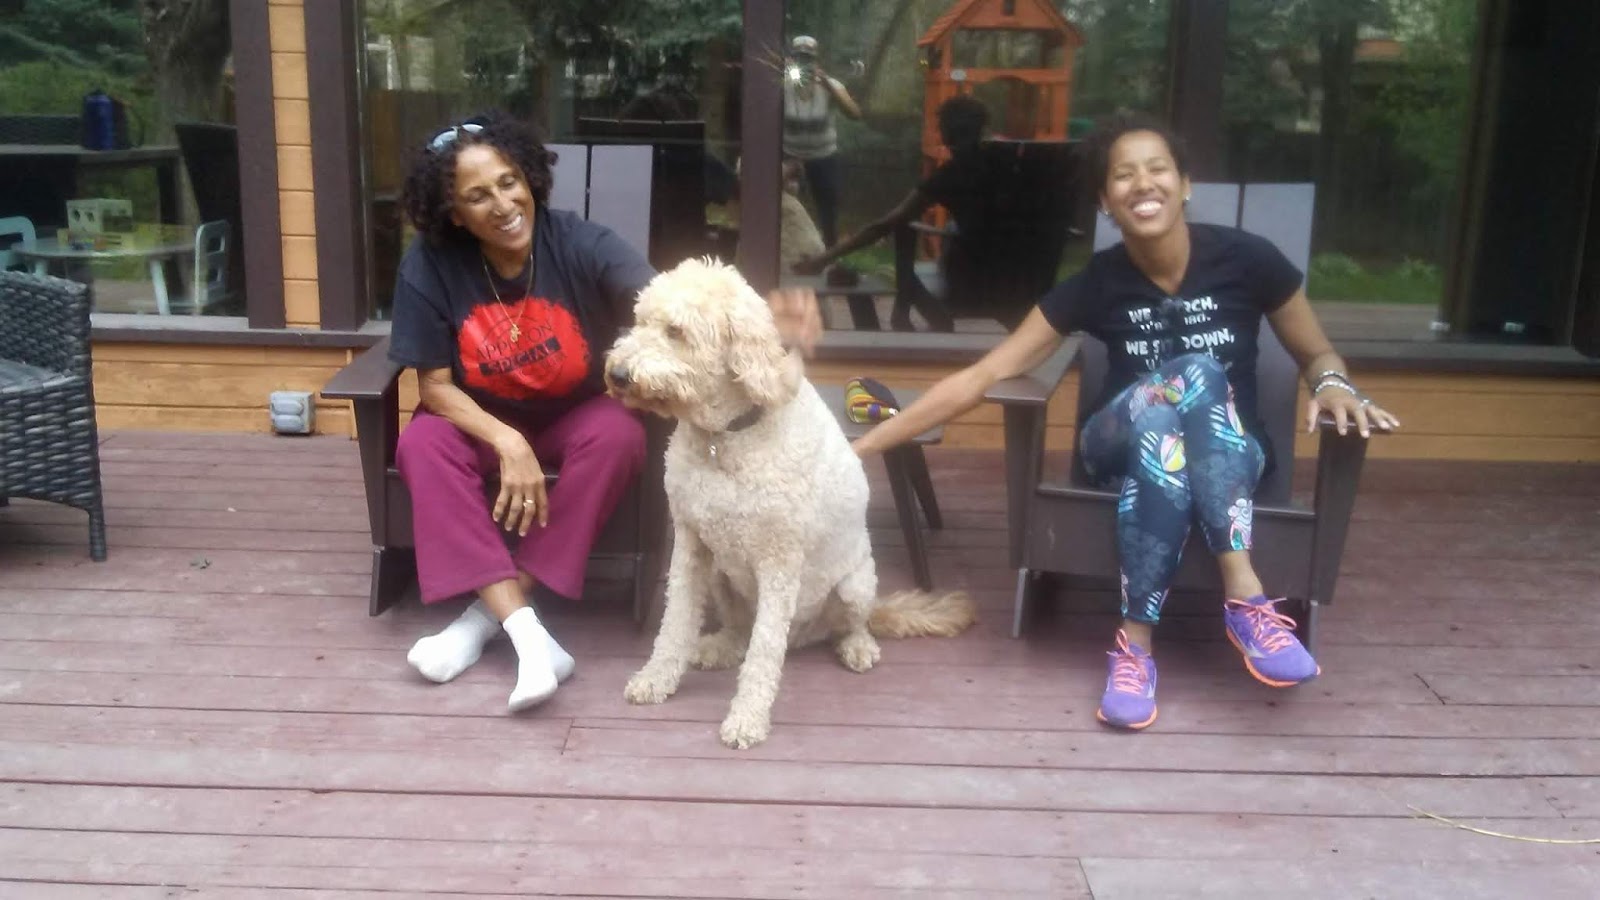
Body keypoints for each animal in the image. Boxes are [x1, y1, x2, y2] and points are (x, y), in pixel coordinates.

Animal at [604, 257, 975, 749]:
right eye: (640, 321)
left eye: (675, 331)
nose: (617, 374)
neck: (726, 437)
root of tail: (805, 634)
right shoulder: (691, 543)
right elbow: (676, 620)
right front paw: (656, 677)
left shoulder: (779, 562)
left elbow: (764, 652)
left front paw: (747, 719)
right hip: (722, 572)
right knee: (741, 631)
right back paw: (720, 646)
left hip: (855, 583)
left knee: (847, 624)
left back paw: (857, 645)